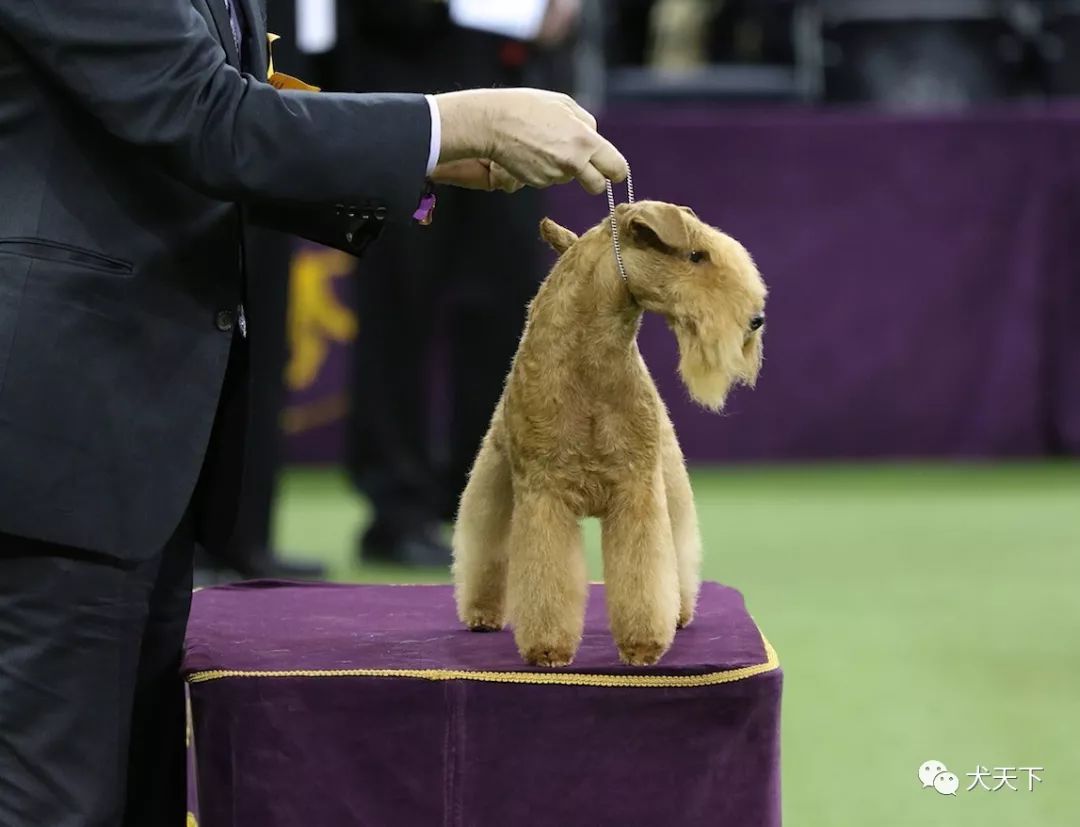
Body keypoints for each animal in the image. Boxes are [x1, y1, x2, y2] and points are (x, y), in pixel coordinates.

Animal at [451, 204, 764, 669]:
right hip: (495, 474)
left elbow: (644, 575)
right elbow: (546, 576)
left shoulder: (637, 489)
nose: (755, 321)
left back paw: (680, 612)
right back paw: (481, 613)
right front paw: (548, 648)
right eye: (696, 256)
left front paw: (643, 645)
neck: (590, 361)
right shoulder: (544, 495)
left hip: (669, 476)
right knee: (485, 543)